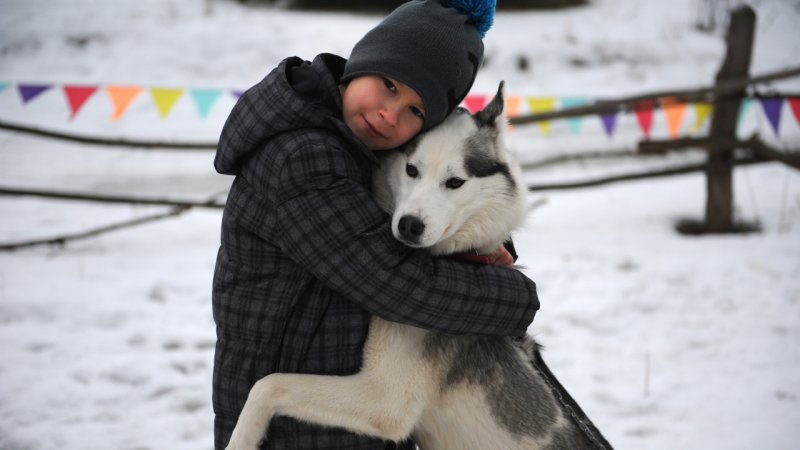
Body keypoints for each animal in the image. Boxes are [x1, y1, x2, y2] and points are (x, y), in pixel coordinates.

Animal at [225, 83, 612, 450]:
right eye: (412, 170)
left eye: (455, 182)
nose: (410, 225)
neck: (466, 255)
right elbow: (267, 383)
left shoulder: (386, 401)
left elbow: (267, 384)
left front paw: (240, 440)